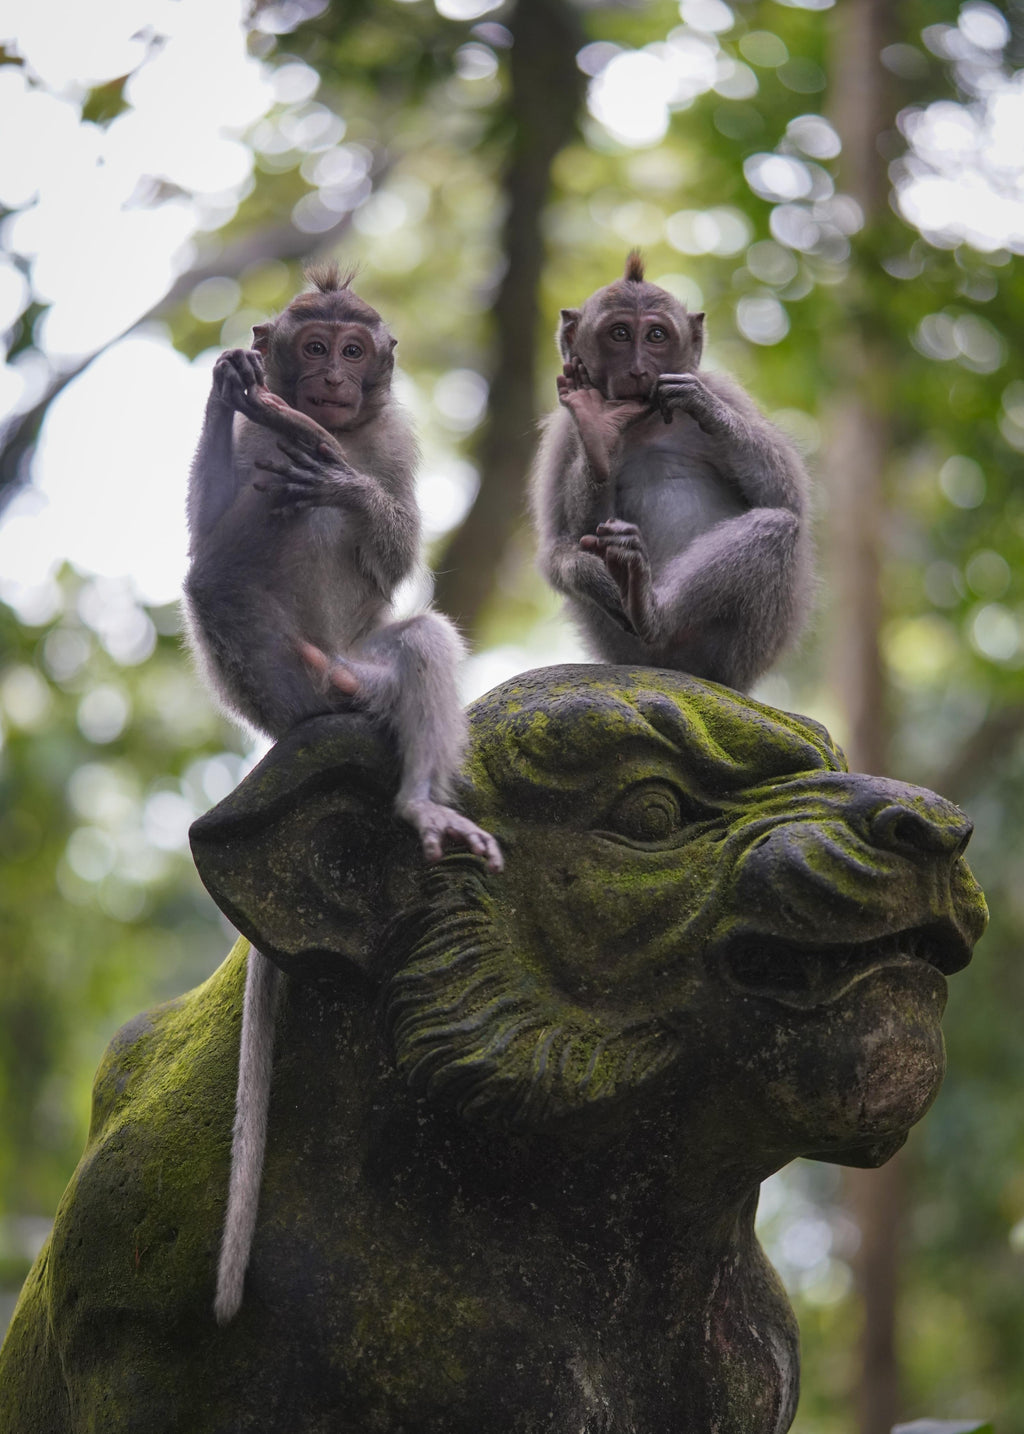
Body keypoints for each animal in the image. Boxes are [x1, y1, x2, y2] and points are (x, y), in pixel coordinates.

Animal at [183, 262, 502, 1324]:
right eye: (313, 344)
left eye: (354, 351)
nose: (327, 381)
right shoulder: (254, 451)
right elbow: (209, 521)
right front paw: (227, 385)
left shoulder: (396, 439)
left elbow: (395, 543)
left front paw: (340, 474)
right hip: (265, 685)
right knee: (215, 579)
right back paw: (315, 702)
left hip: (373, 672)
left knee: (422, 638)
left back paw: (415, 797)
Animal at [529, 250, 813, 693]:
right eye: (620, 334)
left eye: (656, 336)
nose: (638, 368)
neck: (644, 422)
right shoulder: (561, 435)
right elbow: (561, 547)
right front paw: (598, 432)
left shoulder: (725, 391)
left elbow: (790, 500)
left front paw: (703, 406)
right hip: (623, 649)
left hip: (742, 654)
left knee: (778, 524)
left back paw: (651, 610)